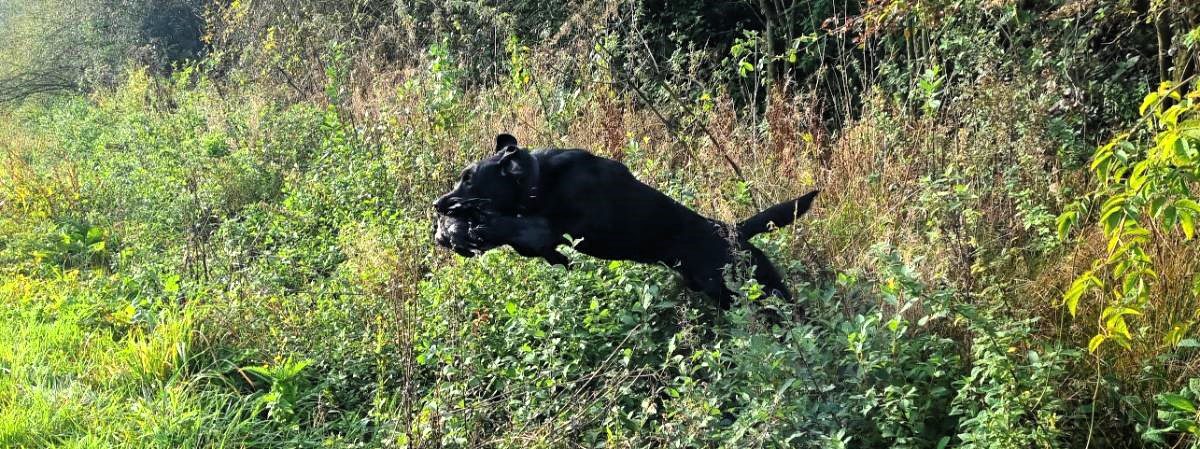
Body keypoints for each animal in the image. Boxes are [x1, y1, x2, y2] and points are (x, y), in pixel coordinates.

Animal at [436, 133, 820, 309]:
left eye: (468, 178)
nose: (437, 205)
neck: (537, 178)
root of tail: (734, 230)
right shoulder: (543, 242)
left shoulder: (547, 229)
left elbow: (511, 225)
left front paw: (477, 227)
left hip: (751, 288)